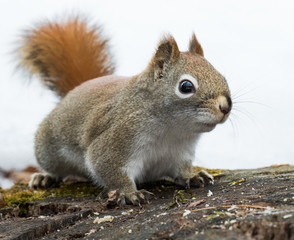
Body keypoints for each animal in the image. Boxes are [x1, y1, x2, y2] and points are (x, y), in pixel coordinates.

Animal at [18, 15, 232, 205]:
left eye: (222, 77)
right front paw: (130, 193)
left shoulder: (180, 153)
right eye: (186, 87)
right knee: (53, 168)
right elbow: (110, 169)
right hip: (48, 150)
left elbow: (182, 170)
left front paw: (192, 176)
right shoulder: (117, 139)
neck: (172, 130)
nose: (226, 106)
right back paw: (44, 177)